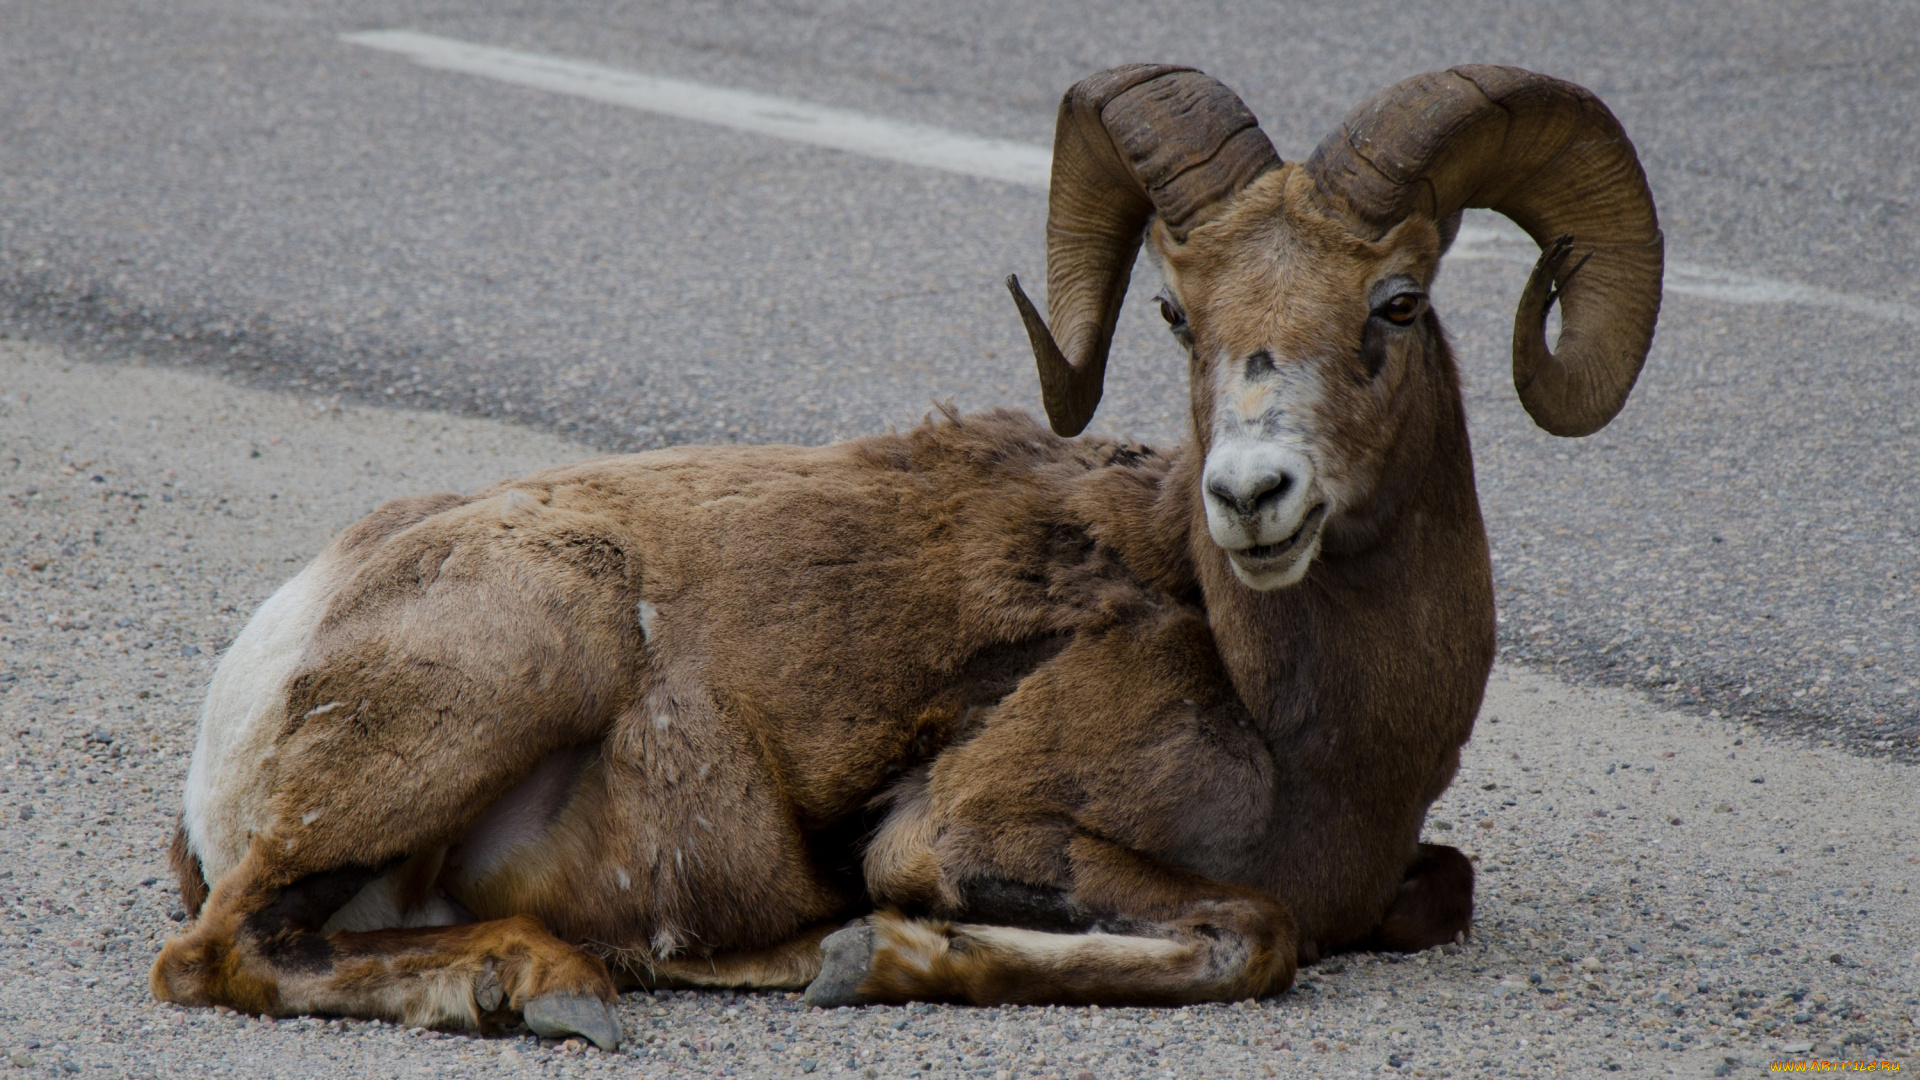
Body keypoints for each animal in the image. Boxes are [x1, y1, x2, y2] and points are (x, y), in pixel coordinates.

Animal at [153, 61, 1651, 1045]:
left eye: (1395, 302)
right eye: (1181, 314)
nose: (1254, 496)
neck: (1314, 733)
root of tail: (274, 642)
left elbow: (1436, 891)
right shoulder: (962, 828)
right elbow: (1253, 932)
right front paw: (864, 958)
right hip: (518, 663)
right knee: (215, 954)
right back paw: (542, 989)